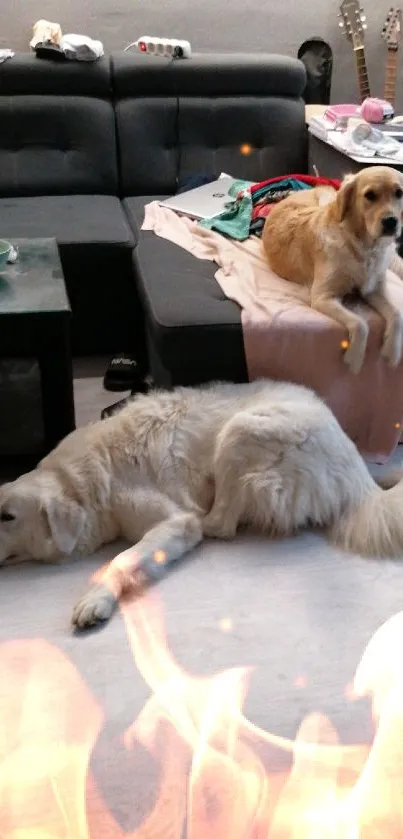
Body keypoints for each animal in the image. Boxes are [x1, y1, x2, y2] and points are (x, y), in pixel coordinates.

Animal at [0, 382, 400, 632]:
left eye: (7, 516)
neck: (83, 481)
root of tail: (359, 474)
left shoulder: (174, 522)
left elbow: (123, 558)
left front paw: (96, 599)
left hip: (239, 432)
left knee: (220, 524)